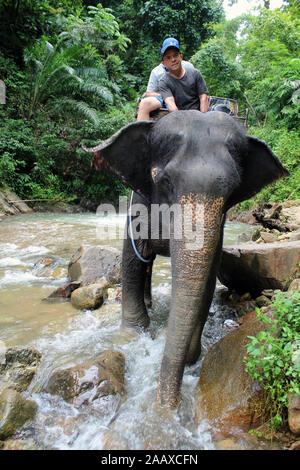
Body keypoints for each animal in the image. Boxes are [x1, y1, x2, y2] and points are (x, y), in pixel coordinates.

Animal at [83, 110, 290, 408]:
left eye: (232, 191)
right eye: (165, 182)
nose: (166, 405)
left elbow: (208, 281)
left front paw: (193, 355)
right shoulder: (138, 204)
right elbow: (132, 261)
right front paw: (133, 334)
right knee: (145, 263)